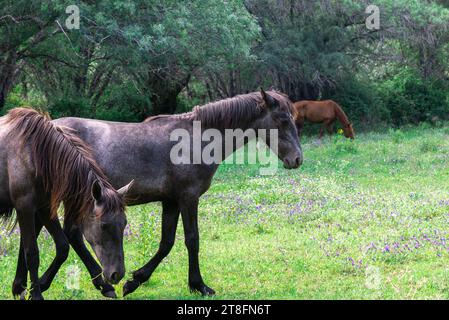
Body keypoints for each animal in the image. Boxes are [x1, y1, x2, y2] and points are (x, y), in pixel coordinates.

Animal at [0, 108, 132, 300]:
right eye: (104, 225)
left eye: (124, 224)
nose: (117, 274)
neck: (35, 154)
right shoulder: (25, 207)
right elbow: (31, 253)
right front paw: (36, 293)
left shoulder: (44, 208)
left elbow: (62, 246)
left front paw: (28, 287)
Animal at [14, 88, 302, 298]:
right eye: (283, 119)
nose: (297, 159)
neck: (197, 139)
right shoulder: (188, 198)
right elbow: (192, 240)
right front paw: (199, 285)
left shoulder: (171, 202)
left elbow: (167, 243)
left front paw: (135, 280)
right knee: (70, 235)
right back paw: (90, 284)